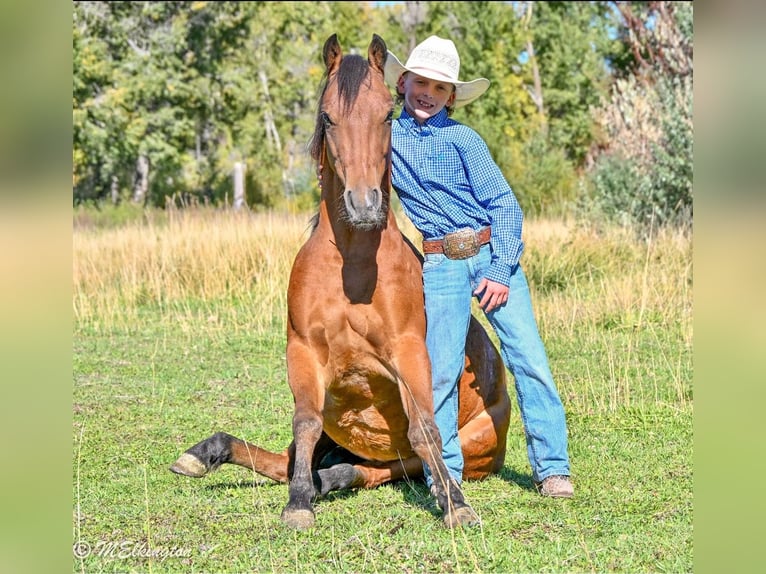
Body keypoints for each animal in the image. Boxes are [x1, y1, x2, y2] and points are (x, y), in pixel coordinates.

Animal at [171, 34, 511, 530]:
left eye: (387, 114)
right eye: (329, 116)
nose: (364, 205)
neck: (353, 267)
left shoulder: (409, 353)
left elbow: (425, 429)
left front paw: (457, 506)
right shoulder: (303, 354)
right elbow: (305, 422)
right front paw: (297, 504)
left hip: (462, 446)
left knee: (392, 466)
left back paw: (337, 479)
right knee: (294, 458)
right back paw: (211, 455)